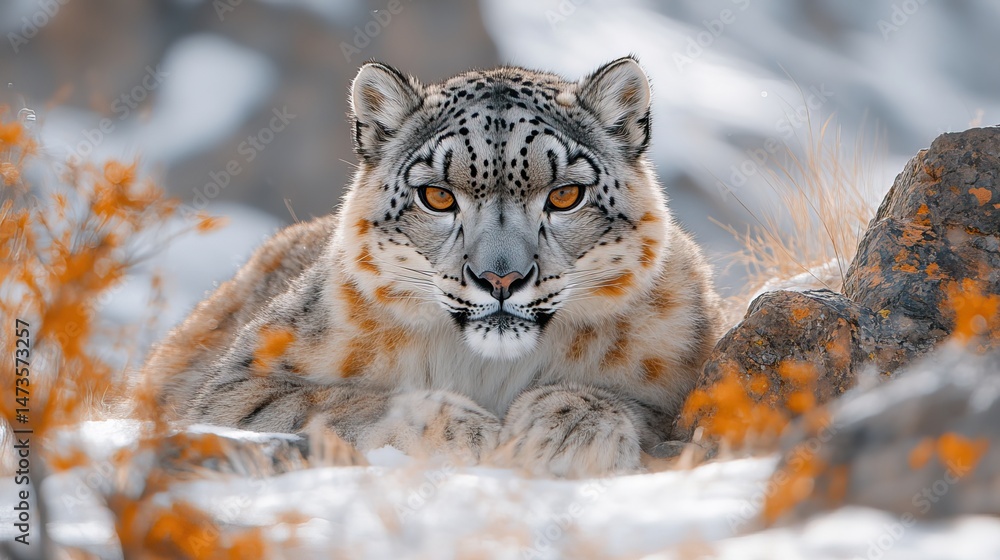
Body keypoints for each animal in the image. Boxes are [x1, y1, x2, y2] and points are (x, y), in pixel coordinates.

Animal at [143, 56, 724, 477]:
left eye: (564, 195)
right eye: (438, 197)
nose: (500, 278)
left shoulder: (681, 381)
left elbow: (642, 409)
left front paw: (567, 431)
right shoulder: (237, 386)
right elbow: (331, 402)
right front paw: (465, 431)